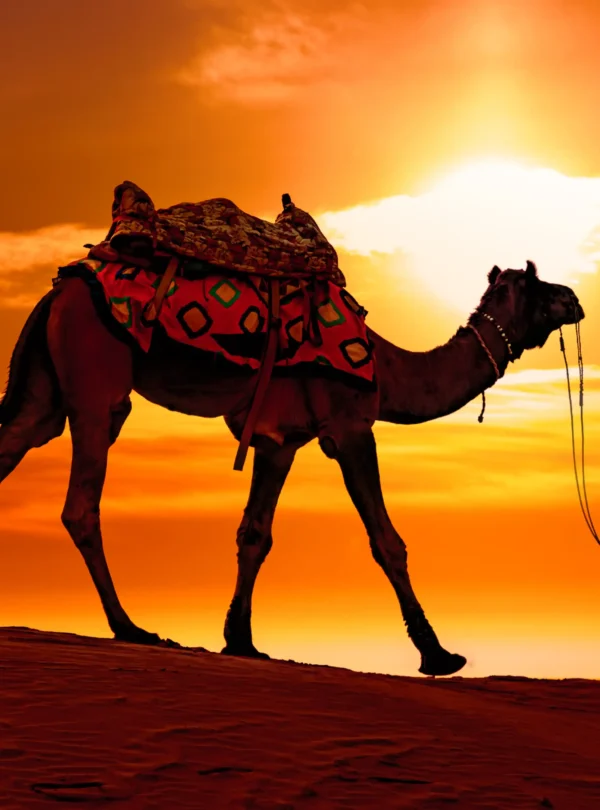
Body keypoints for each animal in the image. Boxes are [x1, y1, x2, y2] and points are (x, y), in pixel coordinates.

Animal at [0, 260, 583, 676]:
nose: (575, 298)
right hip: (97, 385)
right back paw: (131, 628)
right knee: (81, 506)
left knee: (18, 438)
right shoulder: (350, 427)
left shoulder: (280, 442)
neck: (388, 366)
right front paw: (438, 654)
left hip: (45, 394)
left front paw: (240, 640)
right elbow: (386, 541)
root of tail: (58, 292)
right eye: (537, 283)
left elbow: (255, 533)